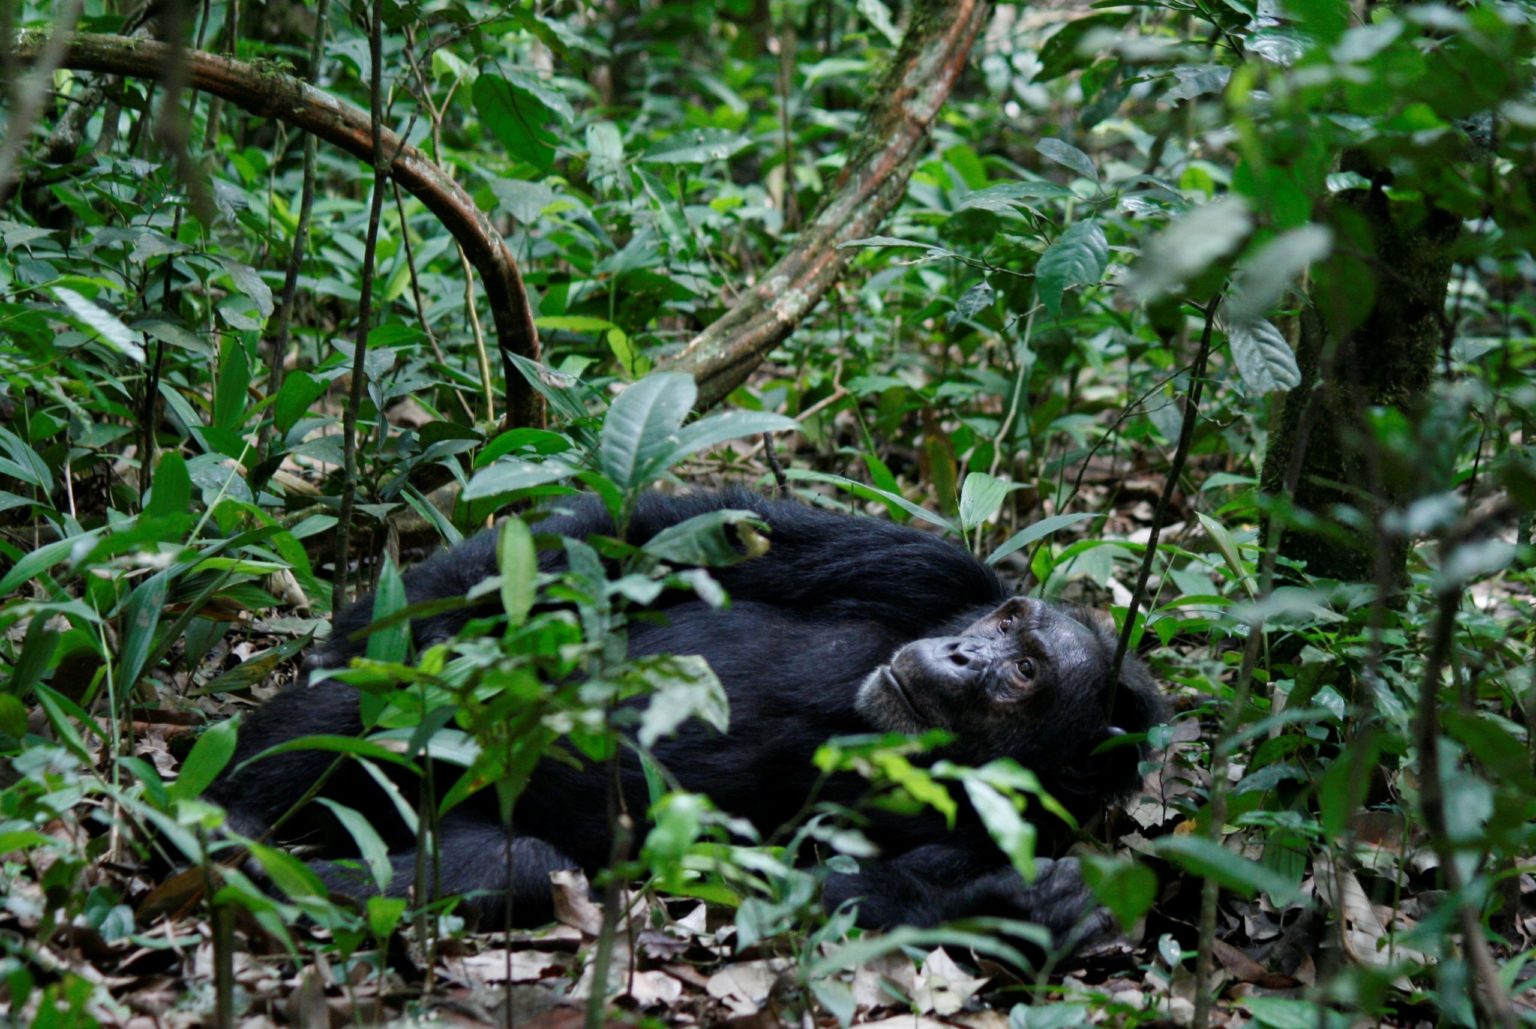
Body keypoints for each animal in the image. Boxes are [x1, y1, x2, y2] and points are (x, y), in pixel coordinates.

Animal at [207, 491, 1161, 946]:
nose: (966, 655)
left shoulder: (1008, 828)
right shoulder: (930, 569)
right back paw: (225, 820)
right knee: (360, 711)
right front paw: (403, 627)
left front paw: (1012, 907)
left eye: (1025, 674)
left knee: (520, 864)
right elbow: (670, 535)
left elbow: (793, 891)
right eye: (1007, 624)